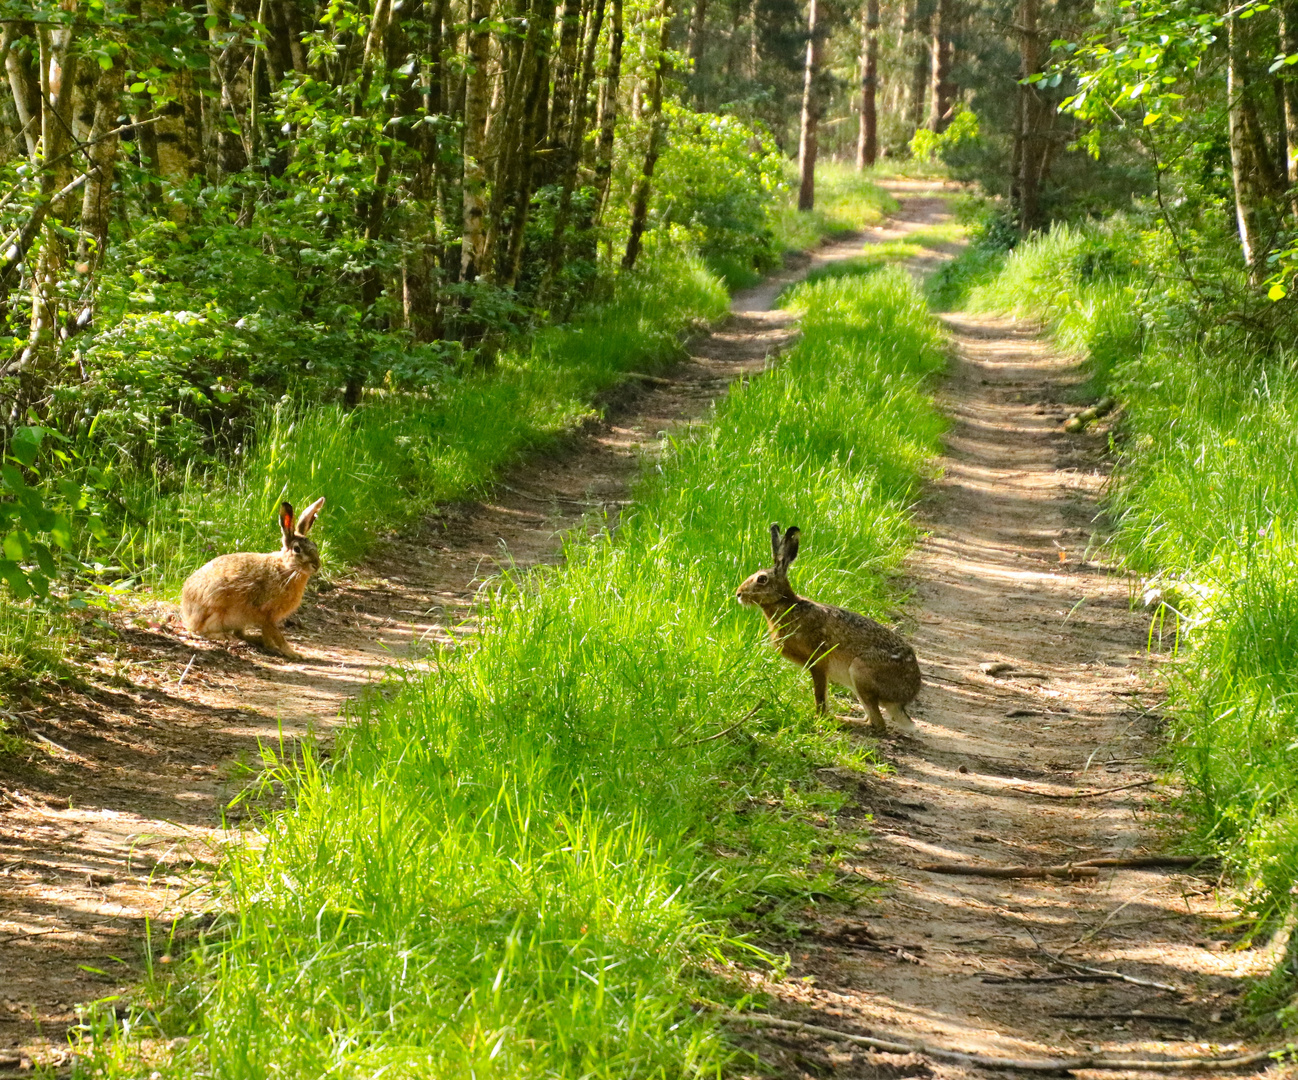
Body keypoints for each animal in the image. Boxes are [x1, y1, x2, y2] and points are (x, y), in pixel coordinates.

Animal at [180, 495, 327, 659]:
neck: (286, 569)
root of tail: (186, 610)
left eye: (315, 546)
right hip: (216, 608)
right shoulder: (266, 613)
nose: (316, 565)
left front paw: (272, 646)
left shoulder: (267, 618)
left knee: (239, 633)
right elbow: (277, 635)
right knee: (198, 630)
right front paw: (293, 654)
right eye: (297, 549)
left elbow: (269, 634)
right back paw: (224, 636)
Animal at [742, 521, 924, 732]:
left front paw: (818, 718)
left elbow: (820, 694)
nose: (738, 594)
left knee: (878, 724)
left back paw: (840, 720)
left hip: (860, 672)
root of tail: (905, 696)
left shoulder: (818, 661)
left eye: (761, 579)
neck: (786, 604)